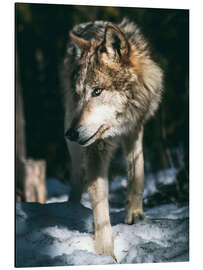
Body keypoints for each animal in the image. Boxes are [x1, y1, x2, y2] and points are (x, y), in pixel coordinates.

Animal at [60, 17, 163, 258]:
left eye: (97, 91)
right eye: (79, 94)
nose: (71, 133)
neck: (118, 125)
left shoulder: (135, 128)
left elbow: (137, 173)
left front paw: (135, 215)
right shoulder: (95, 148)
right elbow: (99, 204)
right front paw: (105, 252)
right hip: (71, 134)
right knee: (76, 175)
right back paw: (71, 207)